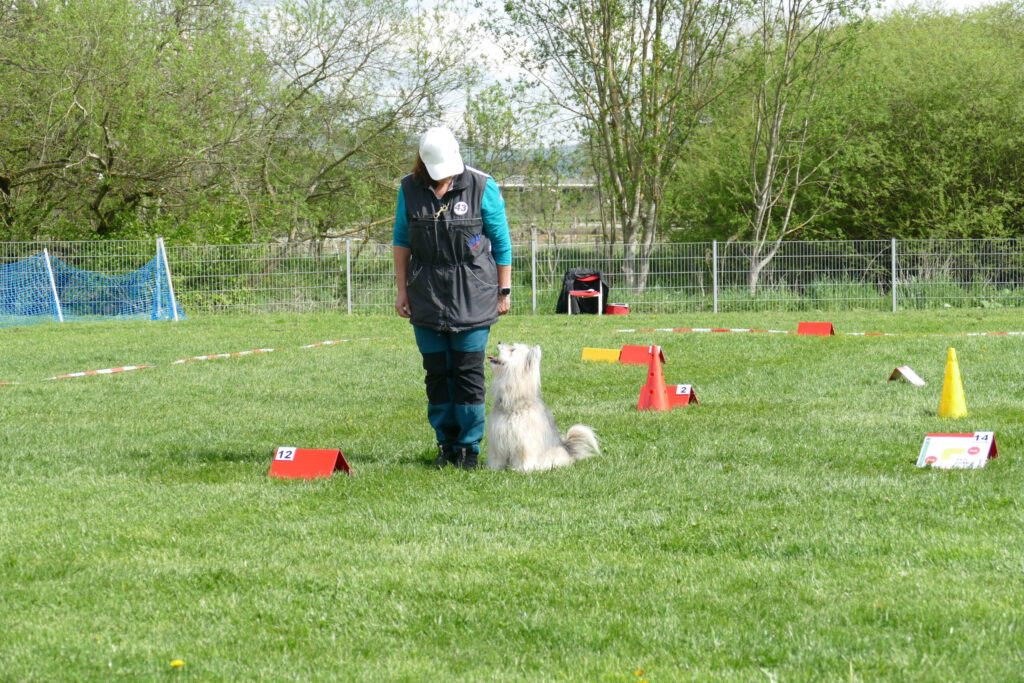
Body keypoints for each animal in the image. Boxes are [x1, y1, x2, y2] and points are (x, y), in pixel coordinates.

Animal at [486, 342, 599, 472]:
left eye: (512, 350)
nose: (499, 342)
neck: (514, 402)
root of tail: (567, 449)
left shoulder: (525, 440)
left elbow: (525, 455)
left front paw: (523, 469)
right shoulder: (497, 438)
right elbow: (497, 457)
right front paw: (493, 468)